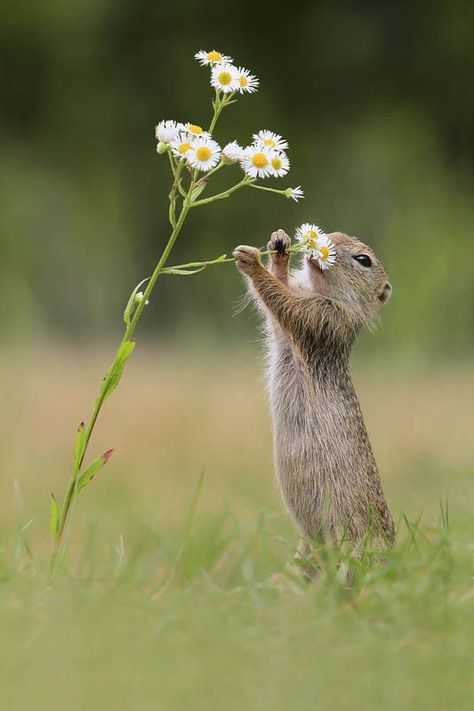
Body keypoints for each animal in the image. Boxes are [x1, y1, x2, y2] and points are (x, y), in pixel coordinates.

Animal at [232, 231, 392, 576]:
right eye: (336, 234)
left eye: (363, 260)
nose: (324, 239)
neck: (323, 290)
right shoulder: (293, 327)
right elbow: (278, 310)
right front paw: (277, 249)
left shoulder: (324, 318)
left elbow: (285, 303)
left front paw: (251, 261)